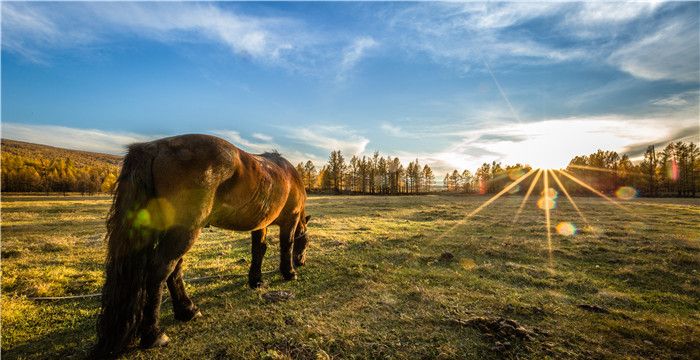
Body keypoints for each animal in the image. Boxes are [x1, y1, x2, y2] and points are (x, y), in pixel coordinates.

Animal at [91, 134, 310, 358]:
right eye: (306, 242)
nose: (301, 262)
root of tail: (154, 147)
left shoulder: (261, 224)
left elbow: (259, 250)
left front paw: (256, 280)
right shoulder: (290, 220)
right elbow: (287, 245)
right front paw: (289, 272)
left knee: (174, 269)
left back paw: (187, 310)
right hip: (186, 231)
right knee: (161, 269)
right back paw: (154, 334)